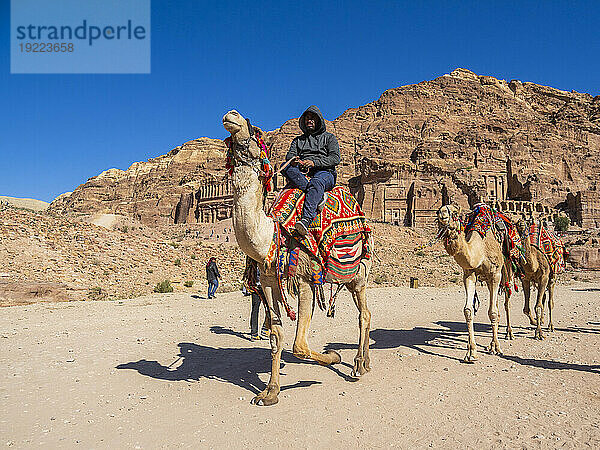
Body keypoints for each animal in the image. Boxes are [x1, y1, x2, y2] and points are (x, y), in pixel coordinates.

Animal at [221, 110, 370, 406]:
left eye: (254, 129)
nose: (232, 115)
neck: (271, 235)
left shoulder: (304, 280)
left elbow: (299, 345)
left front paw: (334, 356)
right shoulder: (269, 282)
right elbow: (276, 338)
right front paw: (269, 392)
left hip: (357, 273)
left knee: (364, 314)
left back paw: (359, 365)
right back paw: (366, 362)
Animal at [434, 204, 512, 362]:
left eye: (455, 212)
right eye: (438, 211)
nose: (443, 215)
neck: (480, 250)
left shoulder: (495, 274)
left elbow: (492, 312)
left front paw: (496, 347)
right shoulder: (469, 274)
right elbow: (468, 310)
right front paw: (471, 352)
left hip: (506, 270)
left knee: (507, 300)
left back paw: (511, 333)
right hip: (488, 280)